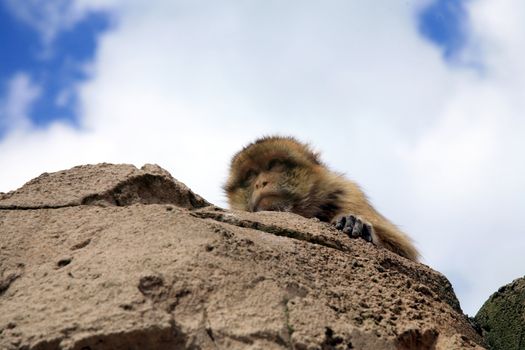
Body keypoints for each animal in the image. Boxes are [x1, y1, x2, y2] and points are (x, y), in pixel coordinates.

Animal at [223, 135, 420, 262]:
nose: (260, 183)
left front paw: (355, 223)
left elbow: (404, 251)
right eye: (250, 175)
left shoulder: (347, 192)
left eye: (275, 165)